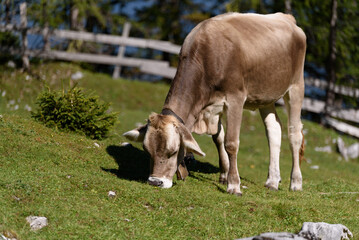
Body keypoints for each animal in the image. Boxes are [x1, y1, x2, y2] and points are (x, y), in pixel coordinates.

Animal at [124, 11, 306, 195]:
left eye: (173, 151)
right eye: (147, 150)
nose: (155, 182)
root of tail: (286, 17)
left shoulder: (235, 98)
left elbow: (230, 143)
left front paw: (234, 185)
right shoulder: (212, 106)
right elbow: (219, 139)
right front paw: (224, 175)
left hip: (296, 86)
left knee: (294, 134)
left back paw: (296, 182)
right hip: (265, 96)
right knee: (274, 130)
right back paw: (272, 181)